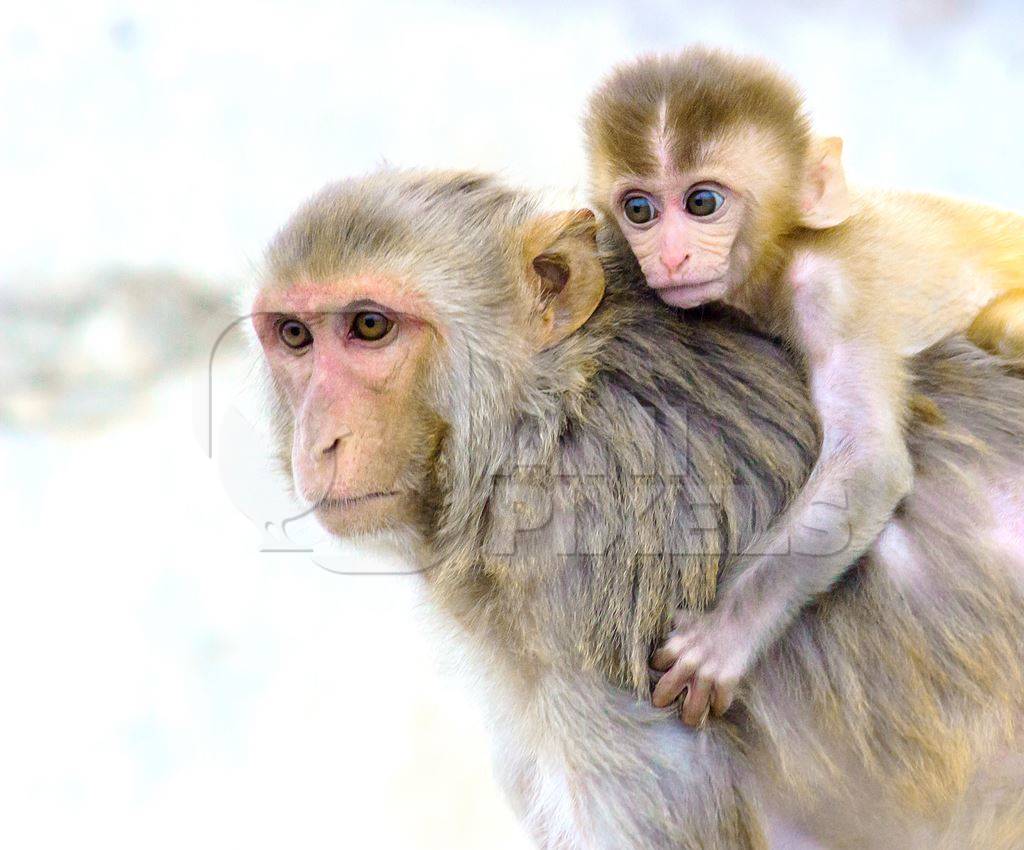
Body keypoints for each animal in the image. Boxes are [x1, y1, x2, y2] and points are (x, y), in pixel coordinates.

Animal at [585, 48, 1024, 725]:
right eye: (639, 211)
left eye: (702, 202)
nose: (672, 258)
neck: (781, 254)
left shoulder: (831, 291)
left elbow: (867, 462)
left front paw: (723, 636)